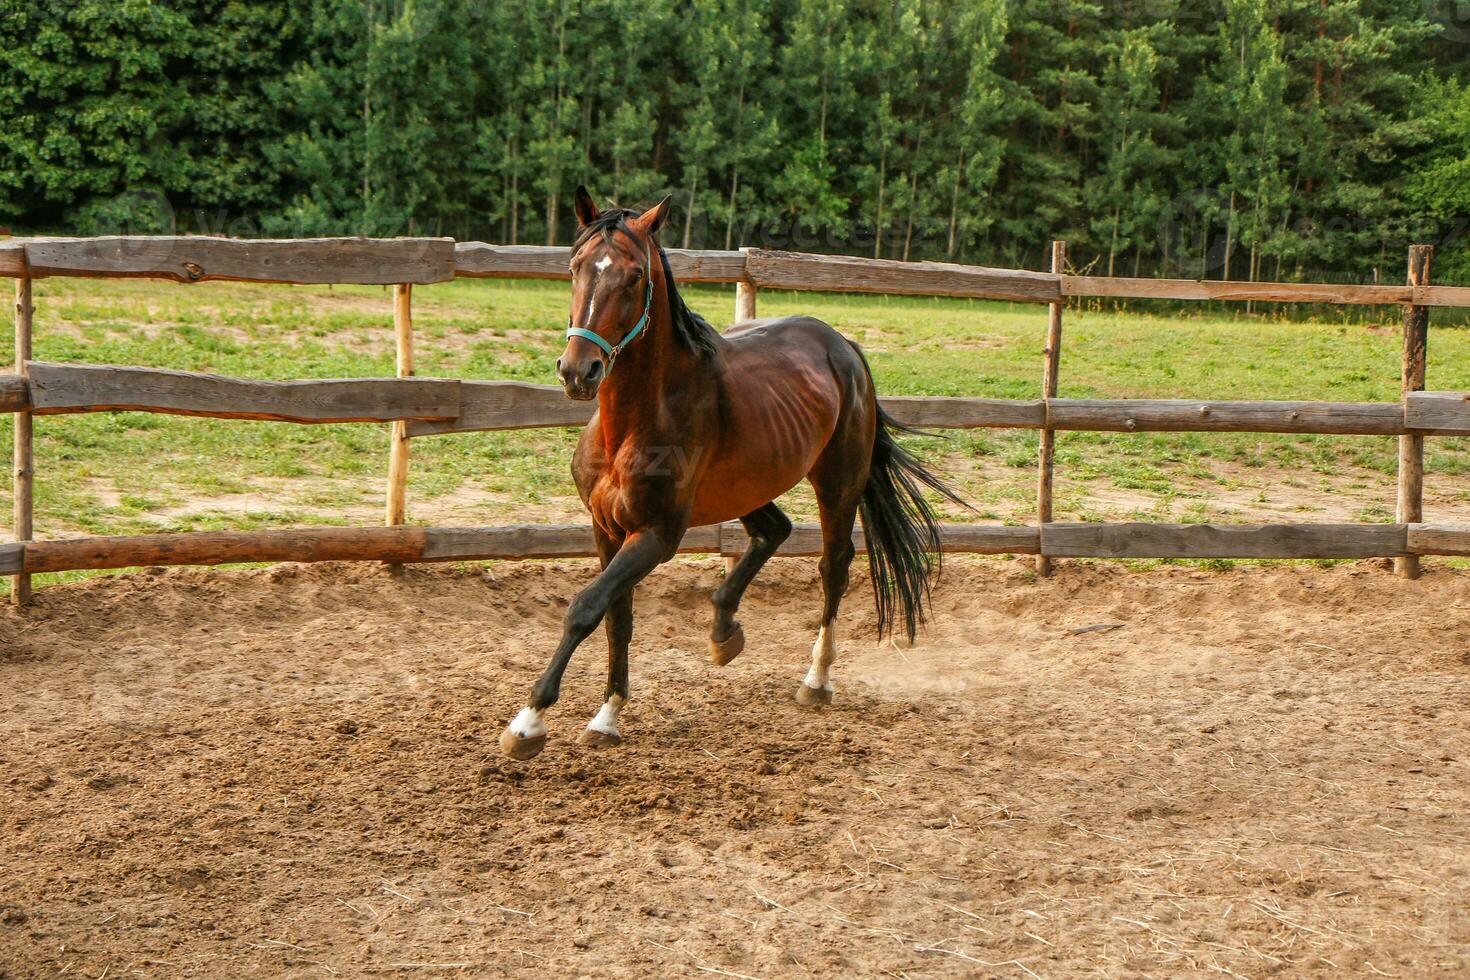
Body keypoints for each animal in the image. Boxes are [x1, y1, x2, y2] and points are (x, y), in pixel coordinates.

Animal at [499, 188, 970, 764]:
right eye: (575, 267)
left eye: (634, 276)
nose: (578, 371)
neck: (631, 425)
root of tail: (844, 346)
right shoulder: (606, 529)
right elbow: (617, 617)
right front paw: (607, 716)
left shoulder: (656, 535)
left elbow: (586, 608)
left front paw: (529, 722)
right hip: (750, 485)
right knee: (775, 530)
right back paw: (724, 630)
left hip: (838, 482)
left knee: (834, 566)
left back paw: (816, 680)